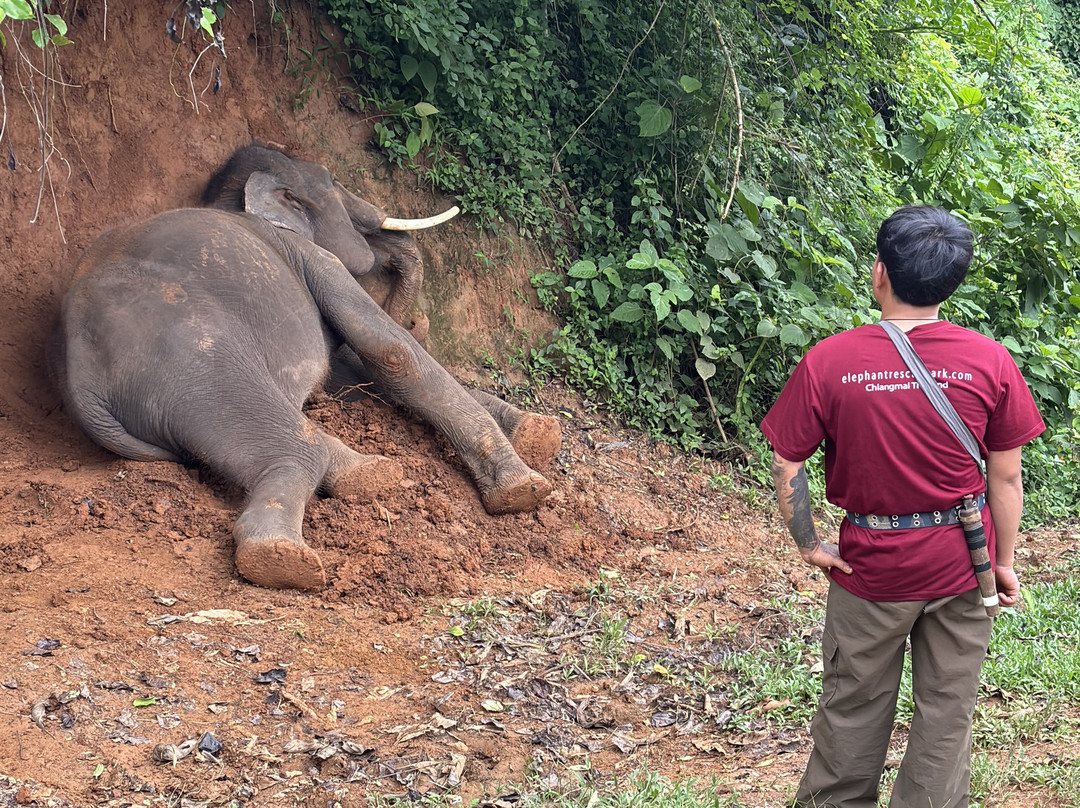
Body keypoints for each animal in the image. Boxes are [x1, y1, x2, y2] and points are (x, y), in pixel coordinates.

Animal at [52, 144, 561, 591]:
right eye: (333, 179)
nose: (421, 319)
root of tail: (80, 379)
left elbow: (351, 373)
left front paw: (539, 432)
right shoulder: (311, 256)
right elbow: (388, 352)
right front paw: (524, 489)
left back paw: (369, 475)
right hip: (188, 359)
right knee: (294, 443)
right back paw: (284, 556)